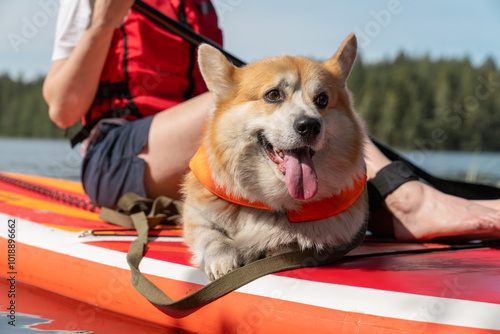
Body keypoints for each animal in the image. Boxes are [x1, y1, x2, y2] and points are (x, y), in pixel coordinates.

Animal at [183, 34, 368, 280]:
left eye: (322, 100)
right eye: (273, 95)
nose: (310, 126)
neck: (272, 201)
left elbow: (287, 243)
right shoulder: (195, 216)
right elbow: (211, 235)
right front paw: (222, 260)